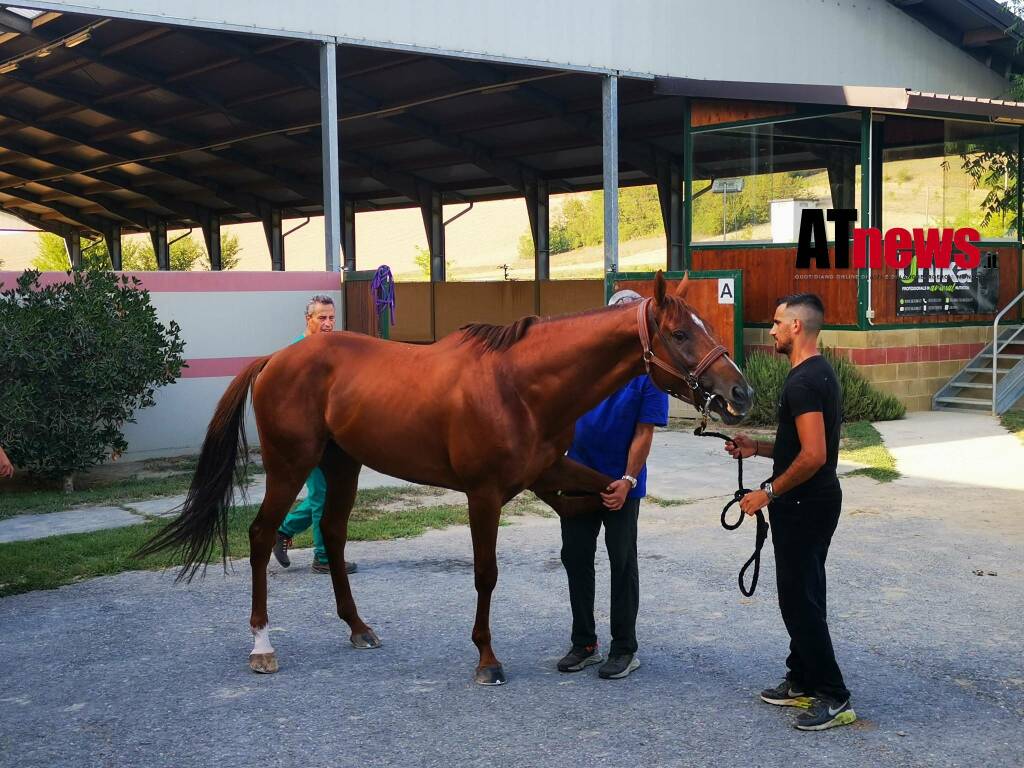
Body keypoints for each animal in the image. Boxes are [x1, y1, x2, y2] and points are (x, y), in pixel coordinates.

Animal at [140, 270, 753, 684]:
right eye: (680, 334)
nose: (741, 392)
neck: (520, 385)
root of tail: (274, 360)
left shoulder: (551, 469)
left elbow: (603, 495)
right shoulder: (484, 496)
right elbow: (486, 576)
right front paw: (486, 658)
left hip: (342, 464)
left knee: (333, 536)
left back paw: (358, 628)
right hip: (290, 464)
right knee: (261, 535)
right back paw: (262, 645)